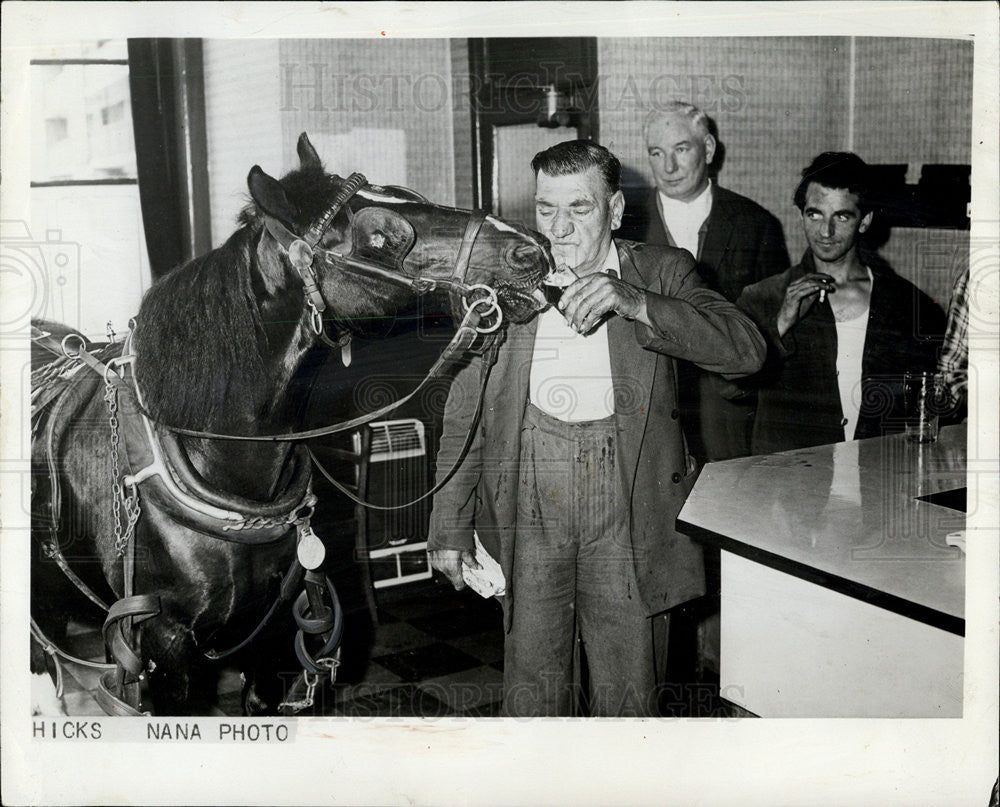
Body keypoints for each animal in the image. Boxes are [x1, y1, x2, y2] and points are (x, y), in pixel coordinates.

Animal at [31, 134, 552, 720]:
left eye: (406, 195)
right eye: (381, 236)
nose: (530, 248)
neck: (220, 459)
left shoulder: (271, 635)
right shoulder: (166, 652)